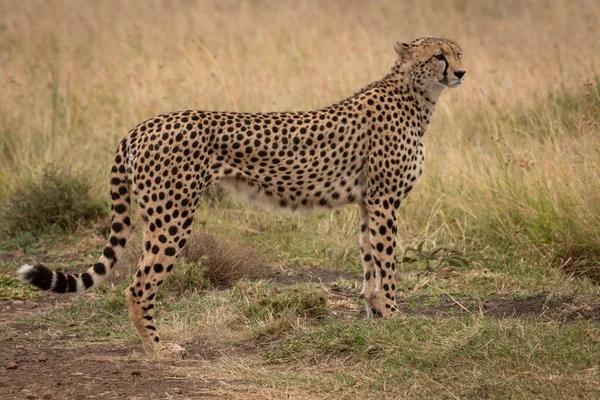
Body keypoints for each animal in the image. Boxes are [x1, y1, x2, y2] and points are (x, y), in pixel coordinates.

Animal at [17, 37, 464, 356]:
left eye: (457, 52)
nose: (461, 71)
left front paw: (376, 315)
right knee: (138, 286)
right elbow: (387, 264)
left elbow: (370, 263)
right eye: (438, 55)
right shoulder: (385, 201)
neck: (415, 94)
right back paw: (159, 350)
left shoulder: (369, 203)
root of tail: (143, 125)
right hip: (172, 218)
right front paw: (394, 316)